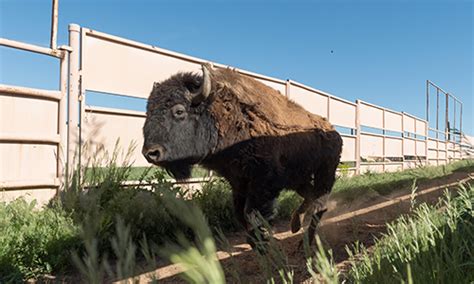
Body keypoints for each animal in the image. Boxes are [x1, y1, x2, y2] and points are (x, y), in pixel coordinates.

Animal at [143, 64, 342, 248]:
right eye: (148, 111)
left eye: (179, 111)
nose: (151, 153)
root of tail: (333, 130)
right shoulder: (238, 182)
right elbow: (239, 214)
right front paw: (256, 241)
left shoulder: (262, 183)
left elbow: (251, 213)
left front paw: (262, 241)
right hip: (297, 179)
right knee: (310, 195)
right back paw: (295, 226)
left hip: (325, 172)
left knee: (320, 203)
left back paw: (305, 242)